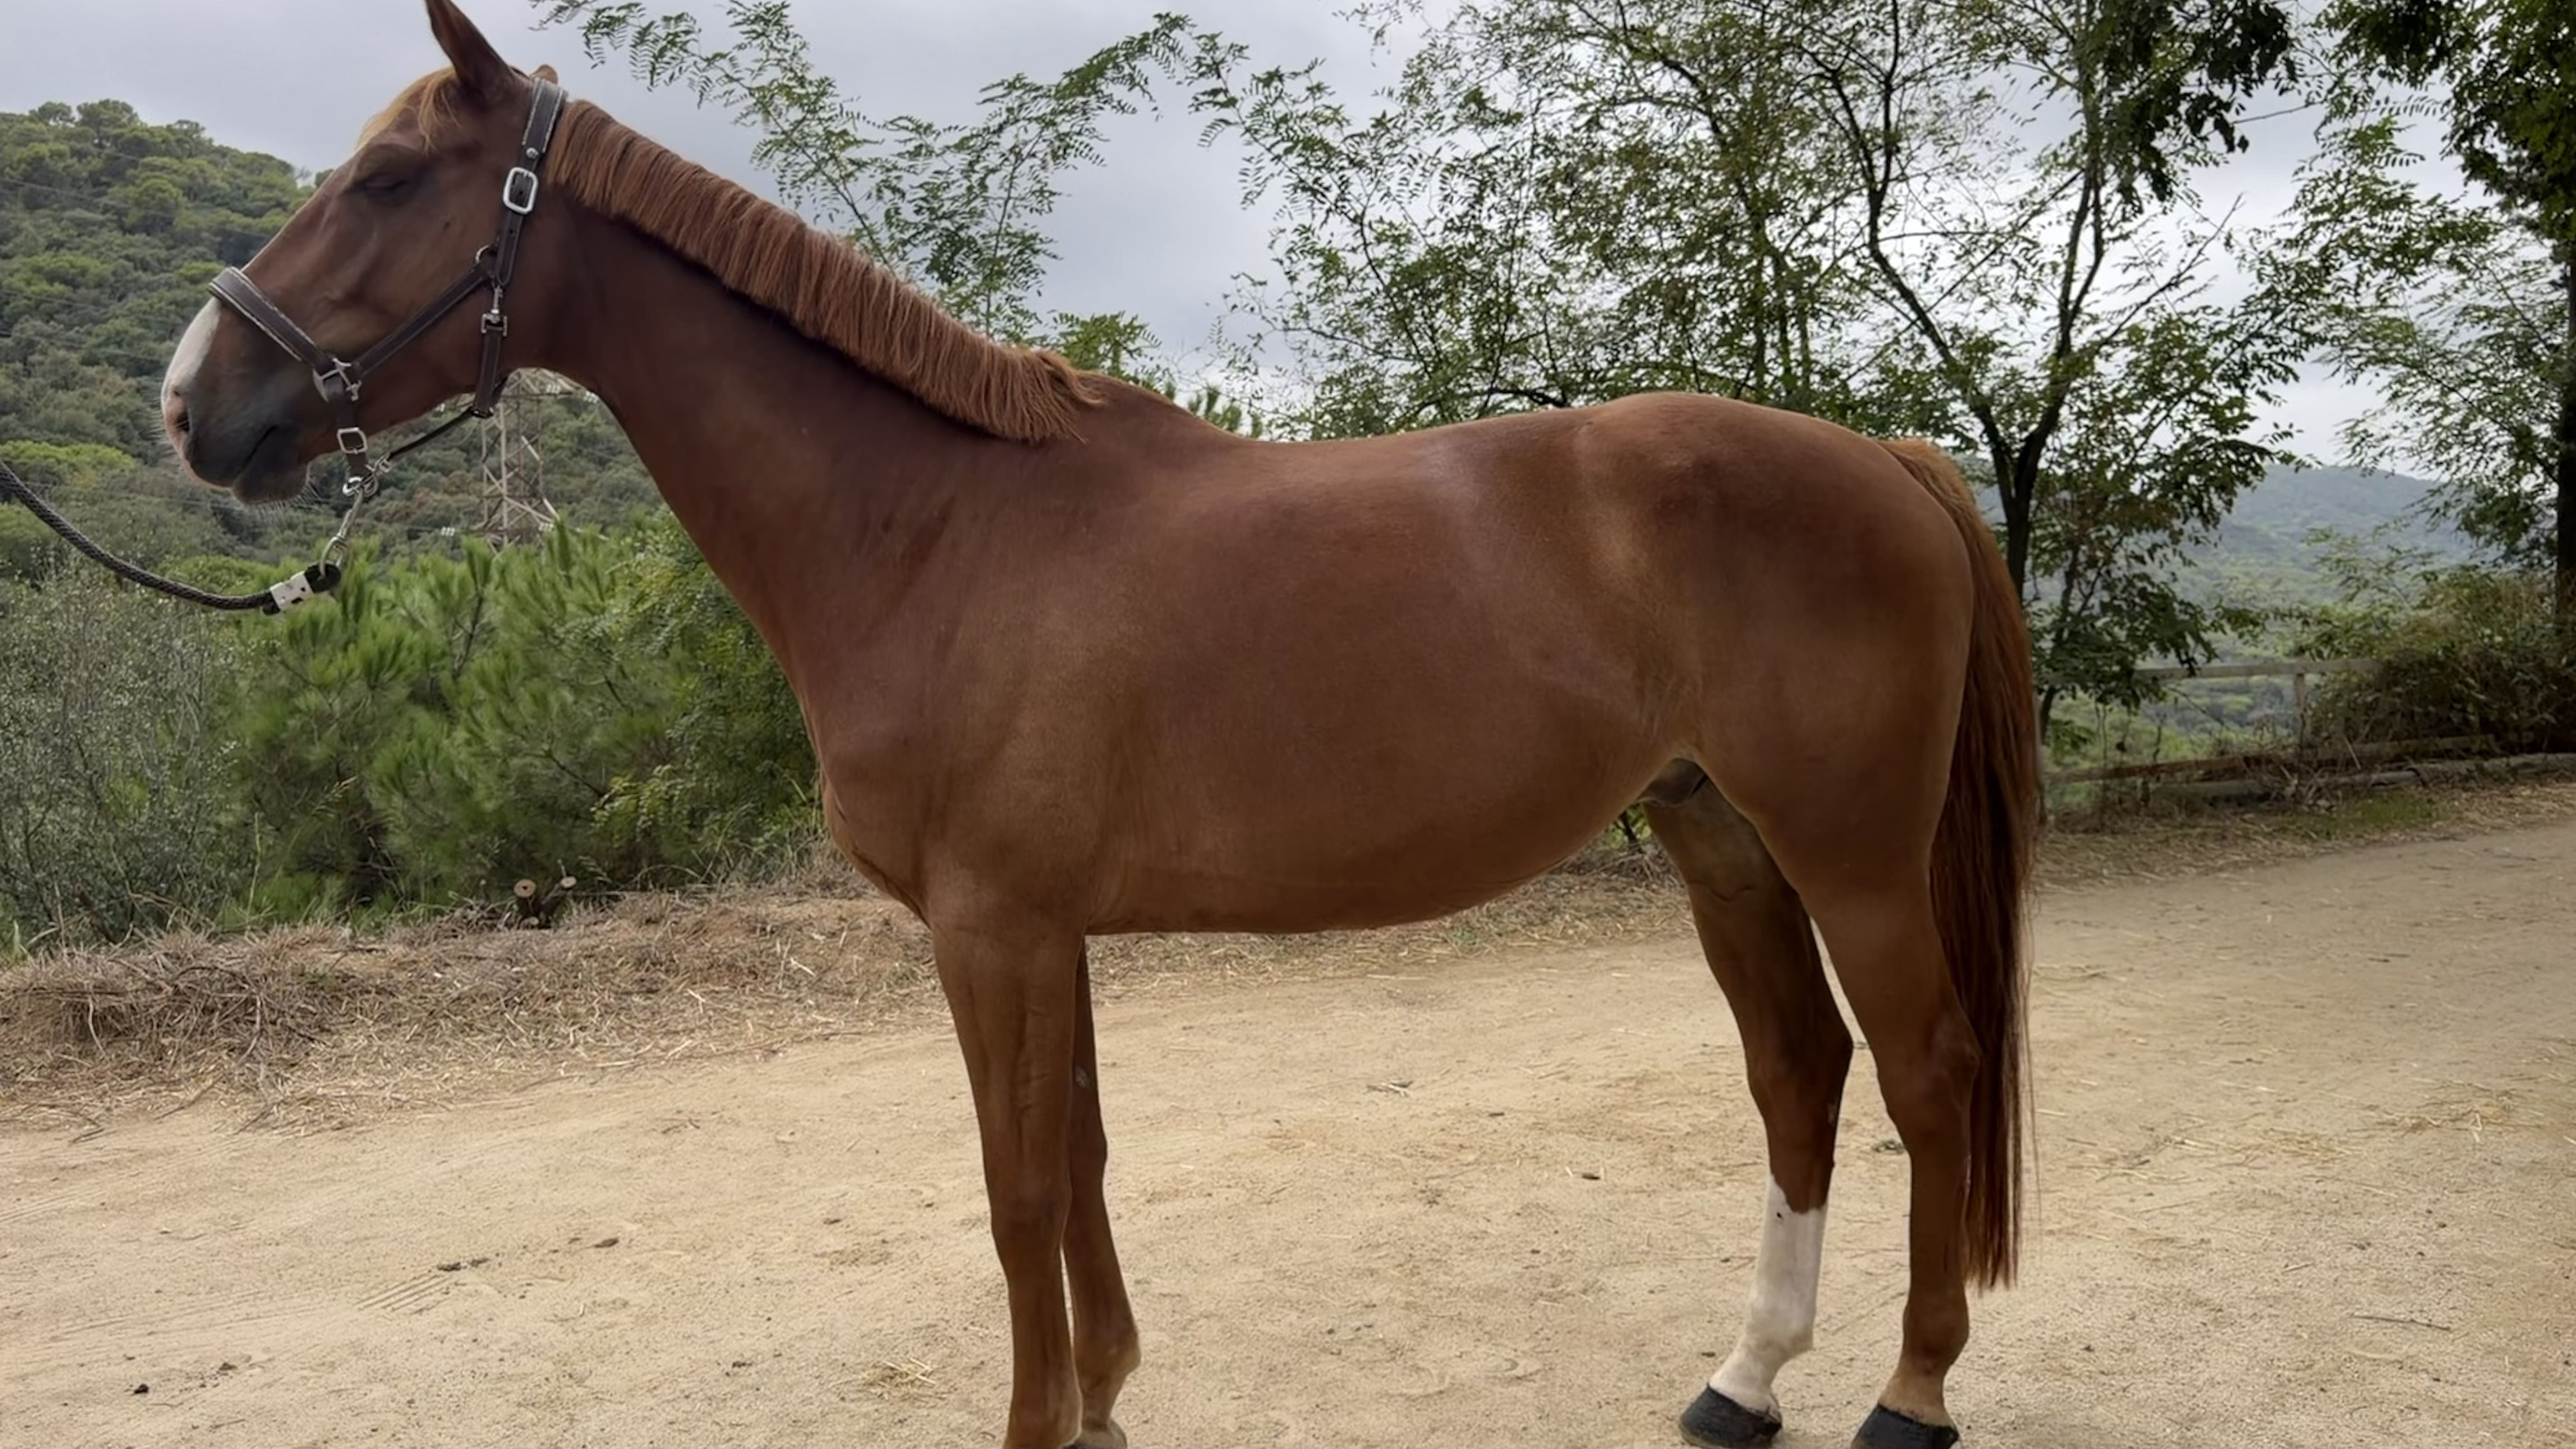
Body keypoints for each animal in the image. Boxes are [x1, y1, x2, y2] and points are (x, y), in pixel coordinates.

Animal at [157, 4, 2039, 1446]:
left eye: (388, 179)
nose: (193, 404)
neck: (935, 530)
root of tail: (1886, 456)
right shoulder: (1041, 928)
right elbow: (1080, 1163)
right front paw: (1110, 1396)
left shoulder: (989, 929)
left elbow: (1015, 1191)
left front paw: (1043, 1420)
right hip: (1720, 837)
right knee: (1798, 1077)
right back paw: (1744, 1380)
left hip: (1851, 855)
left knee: (1929, 1073)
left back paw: (1910, 1394)